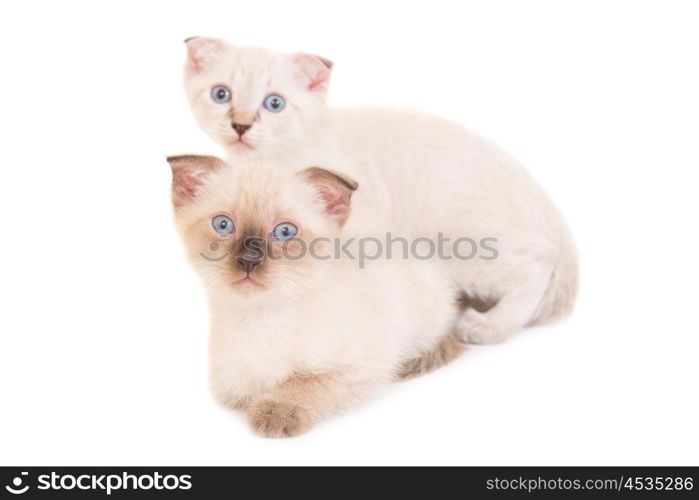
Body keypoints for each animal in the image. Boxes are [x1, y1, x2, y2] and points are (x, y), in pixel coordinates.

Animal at [167, 153, 462, 438]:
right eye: (223, 225)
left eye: (285, 231)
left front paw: (275, 411)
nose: (249, 260)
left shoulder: (361, 366)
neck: (259, 320)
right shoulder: (229, 388)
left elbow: (307, 382)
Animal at [183, 39, 584, 346]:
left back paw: (489, 326)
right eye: (221, 95)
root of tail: (538, 191)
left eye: (274, 103)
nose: (240, 125)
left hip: (464, 245)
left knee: (539, 262)